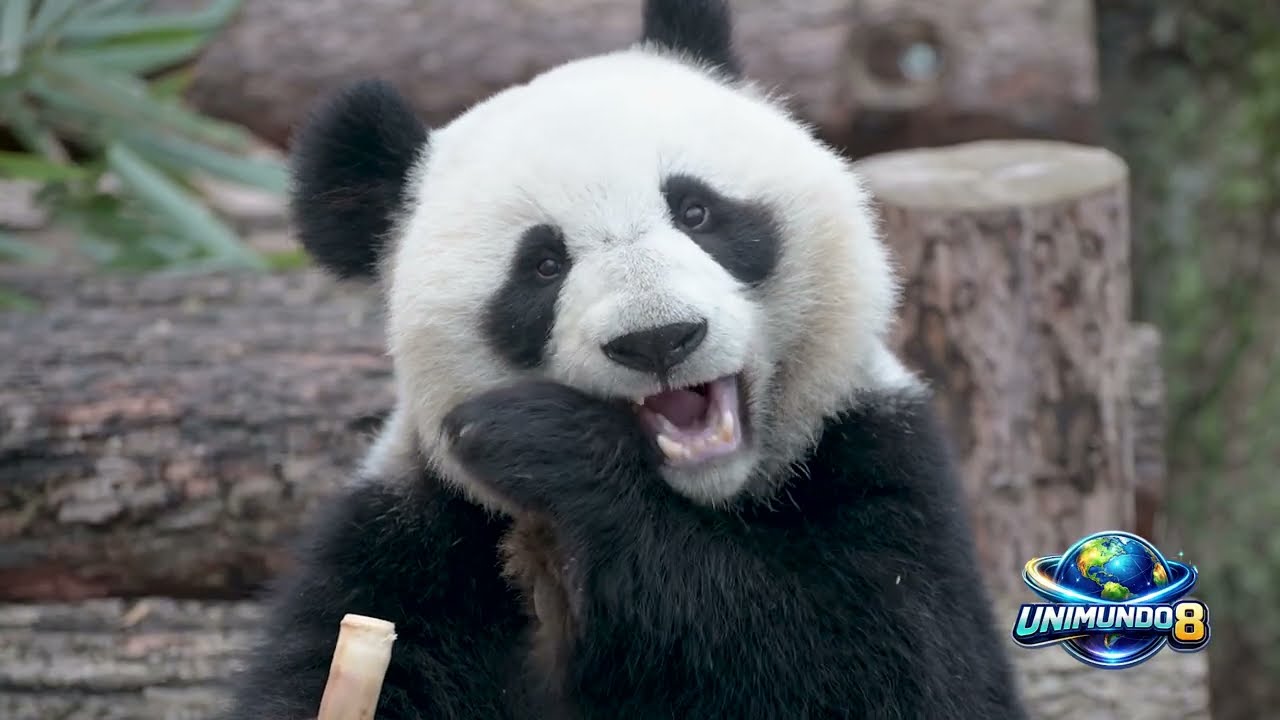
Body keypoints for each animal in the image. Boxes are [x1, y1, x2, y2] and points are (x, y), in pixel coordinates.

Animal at [223, 1, 1026, 718]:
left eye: (697, 211)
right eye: (543, 264)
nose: (659, 338)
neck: (697, 502)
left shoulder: (879, 455)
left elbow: (889, 669)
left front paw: (549, 448)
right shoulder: (411, 543)